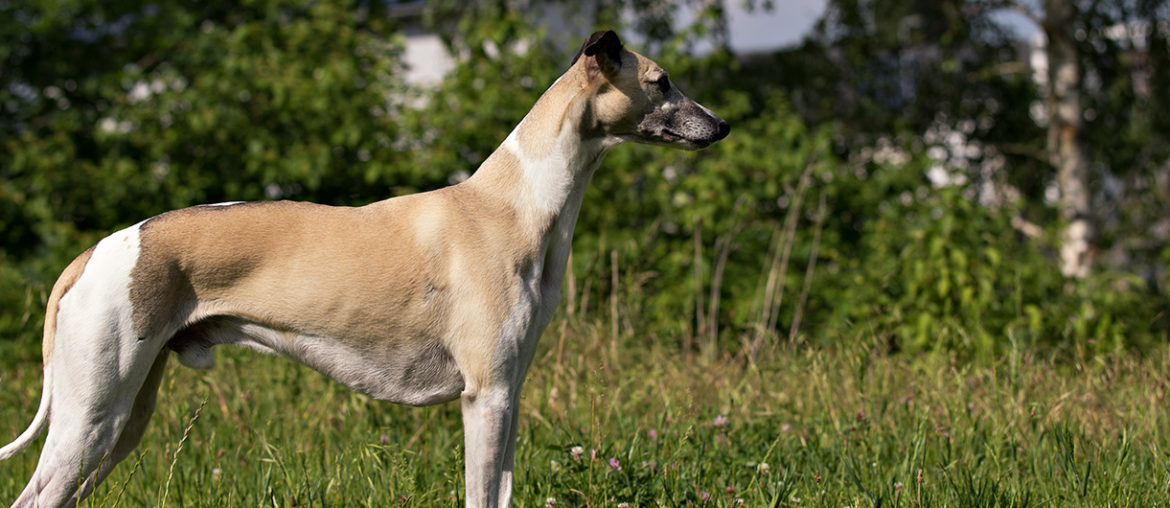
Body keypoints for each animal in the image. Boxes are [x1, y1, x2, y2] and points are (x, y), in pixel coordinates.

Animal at [0, 30, 725, 508]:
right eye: (661, 81)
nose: (720, 127)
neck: (511, 203)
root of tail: (98, 250)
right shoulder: (485, 396)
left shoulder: (509, 395)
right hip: (92, 414)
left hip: (123, 418)